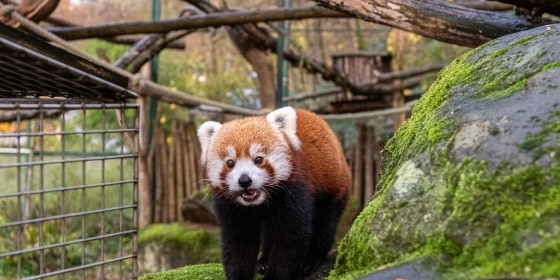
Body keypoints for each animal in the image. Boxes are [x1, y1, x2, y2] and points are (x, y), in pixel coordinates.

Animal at [198, 106, 350, 278]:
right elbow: (238, 241)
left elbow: (289, 238)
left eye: (258, 159)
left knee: (325, 222)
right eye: (230, 163)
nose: (244, 180)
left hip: (334, 186)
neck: (260, 202)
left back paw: (312, 260)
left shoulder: (293, 192)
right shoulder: (230, 206)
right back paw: (263, 260)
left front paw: (276, 275)